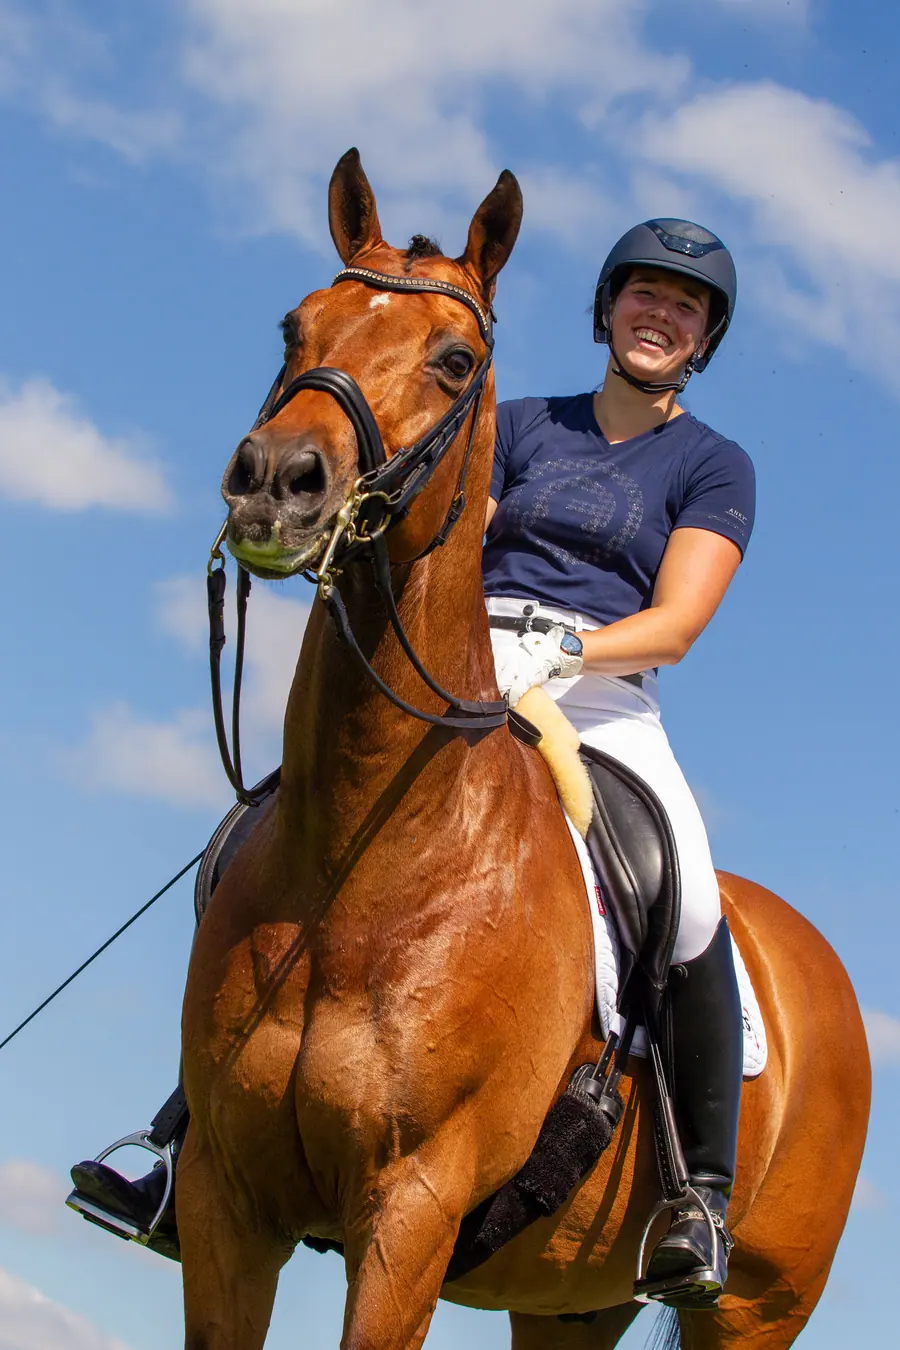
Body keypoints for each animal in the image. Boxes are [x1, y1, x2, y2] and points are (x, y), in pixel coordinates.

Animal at [177, 148, 870, 1350]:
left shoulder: (408, 1216)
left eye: (455, 361)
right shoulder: (227, 1202)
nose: (274, 480)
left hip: (758, 1307)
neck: (361, 865)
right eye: (294, 328)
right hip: (572, 1300)